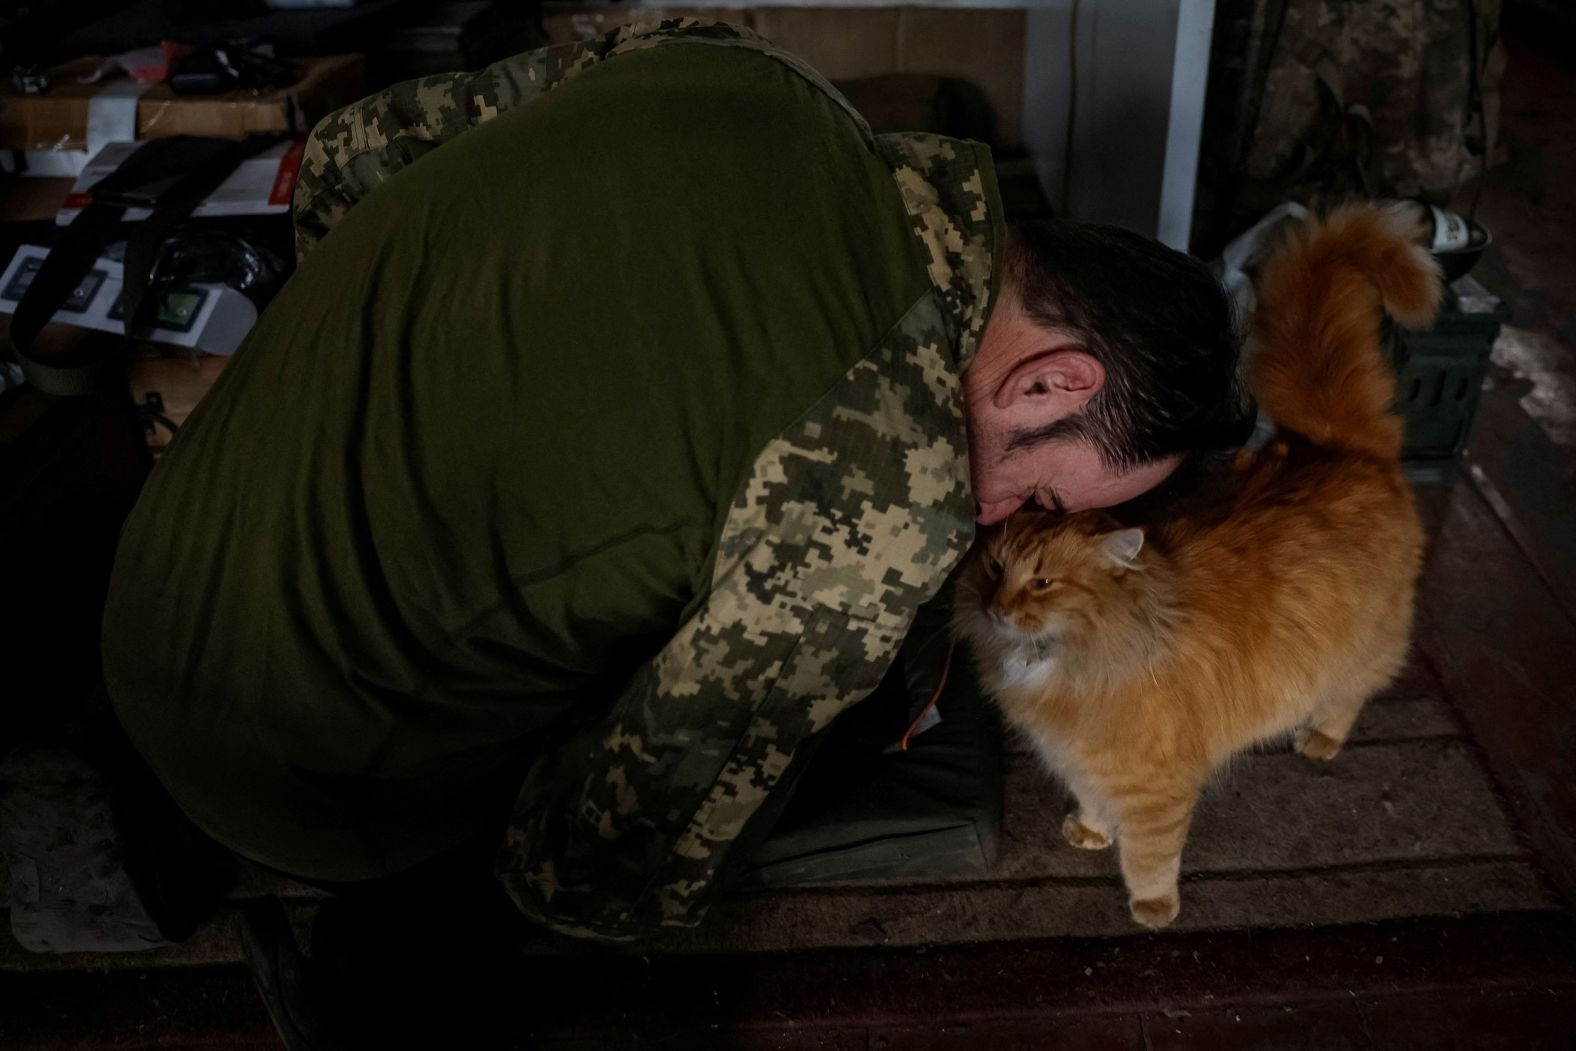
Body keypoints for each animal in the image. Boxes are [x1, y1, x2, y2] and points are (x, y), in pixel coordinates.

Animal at [951, 203, 1443, 926]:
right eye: (994, 570)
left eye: (1041, 581)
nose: (997, 606)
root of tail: (1336, 447)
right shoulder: (1080, 763)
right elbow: (1095, 803)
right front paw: (1090, 832)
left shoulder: (1155, 785)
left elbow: (1150, 856)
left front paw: (1154, 907)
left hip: (1365, 647)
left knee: (1353, 691)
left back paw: (1321, 736)